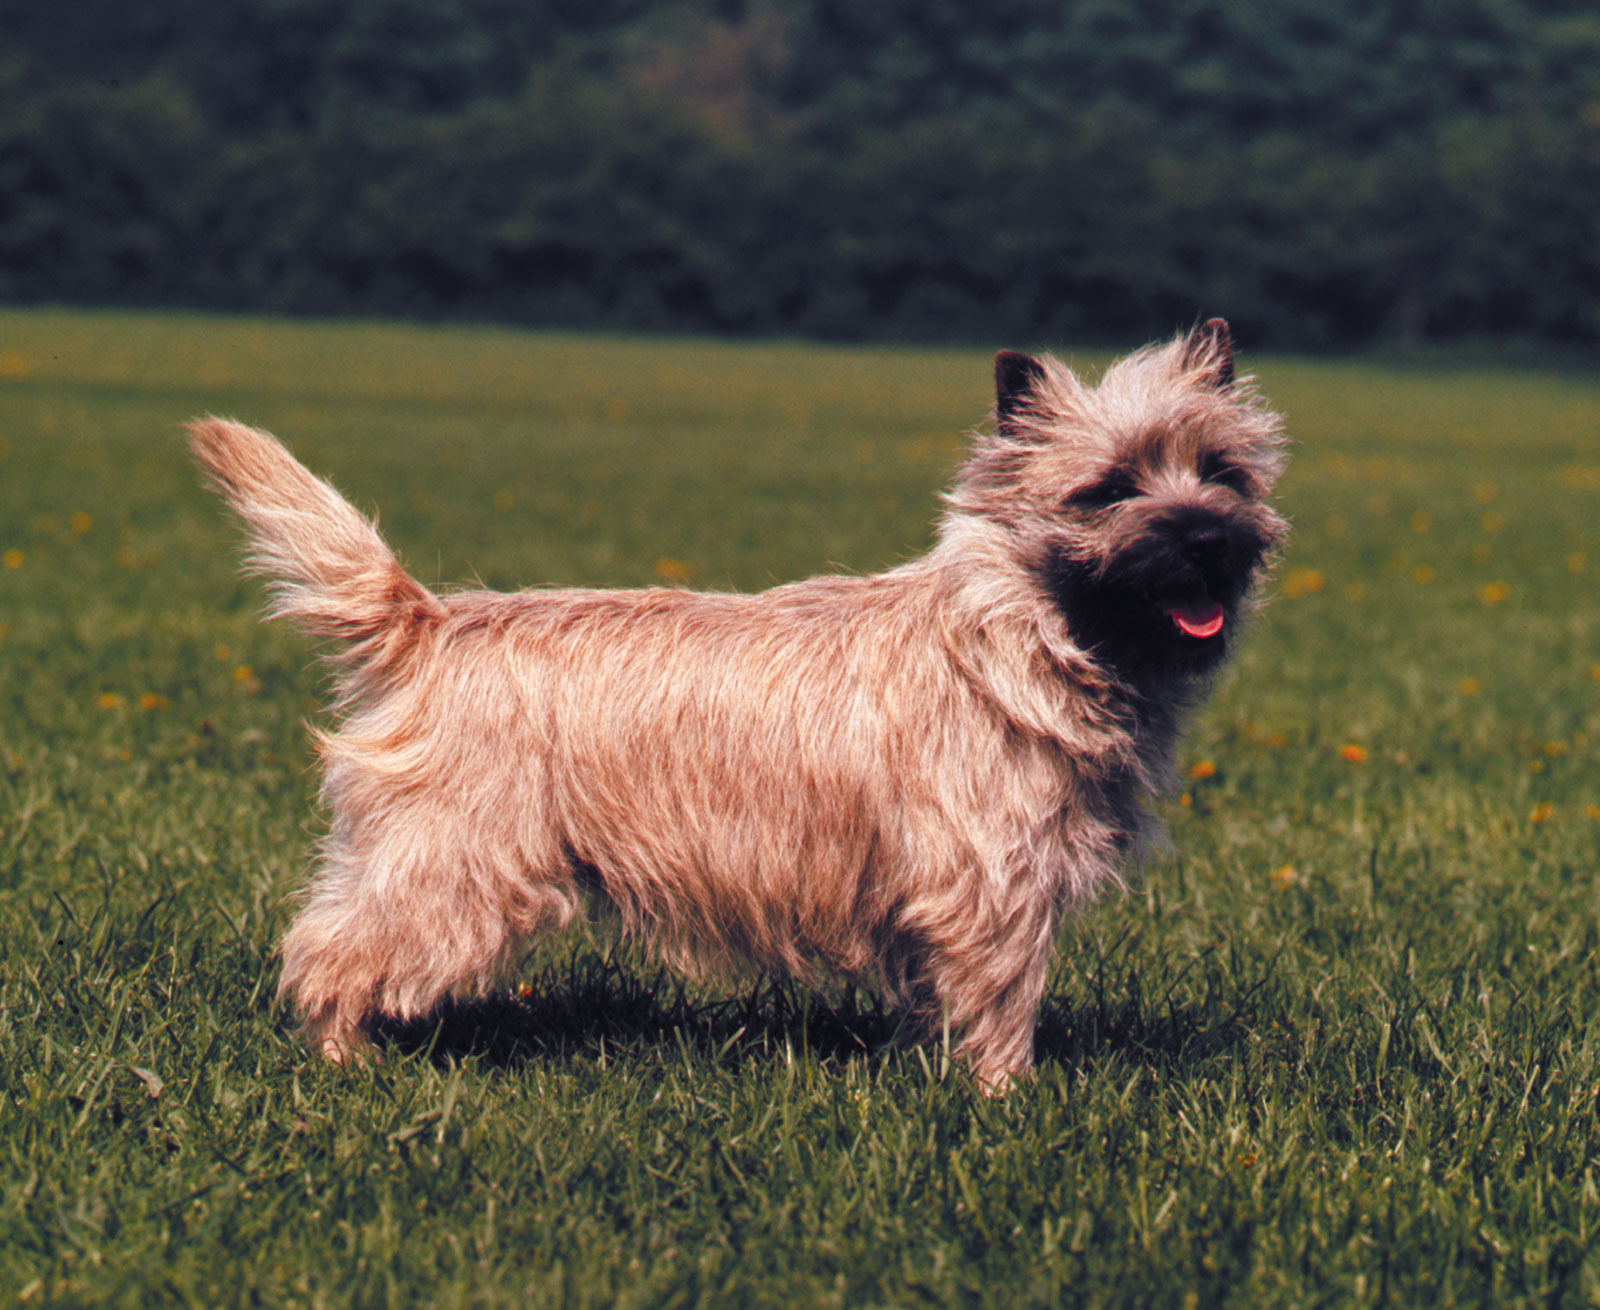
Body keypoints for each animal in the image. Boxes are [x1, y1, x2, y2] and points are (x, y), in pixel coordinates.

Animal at [187, 323, 1286, 1094]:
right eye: (1107, 488)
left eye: (1223, 473)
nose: (1206, 538)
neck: (1025, 635)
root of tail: (434, 620)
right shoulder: (993, 880)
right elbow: (1001, 992)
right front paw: (1003, 1094)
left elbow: (936, 995)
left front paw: (931, 1068)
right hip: (454, 866)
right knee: (328, 949)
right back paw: (343, 1059)